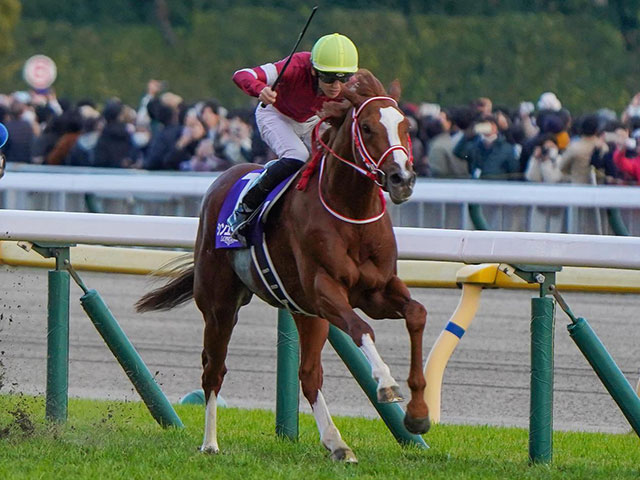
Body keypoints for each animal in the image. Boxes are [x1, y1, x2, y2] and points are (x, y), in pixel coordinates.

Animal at [136, 70, 430, 462]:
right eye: (367, 127)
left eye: (406, 126)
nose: (402, 179)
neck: (351, 214)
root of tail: (225, 178)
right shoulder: (325, 290)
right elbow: (362, 329)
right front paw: (387, 384)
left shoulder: (377, 291)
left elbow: (416, 314)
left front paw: (418, 414)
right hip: (220, 306)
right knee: (213, 370)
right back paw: (210, 443)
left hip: (306, 313)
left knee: (309, 375)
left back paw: (338, 444)